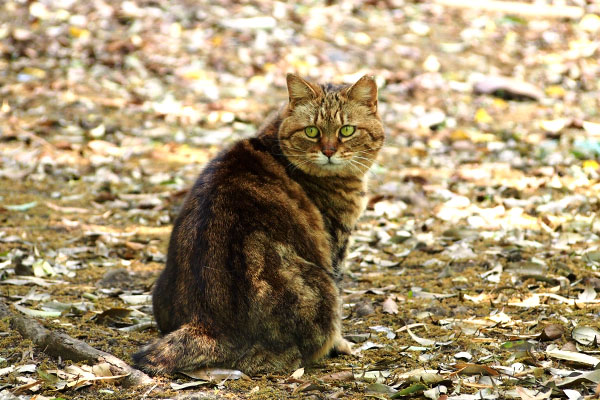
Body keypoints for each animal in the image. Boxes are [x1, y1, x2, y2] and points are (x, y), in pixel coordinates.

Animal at [132, 72, 384, 376]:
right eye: (312, 131)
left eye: (347, 130)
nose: (328, 151)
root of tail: (205, 324)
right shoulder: (336, 246)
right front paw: (342, 344)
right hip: (321, 286)